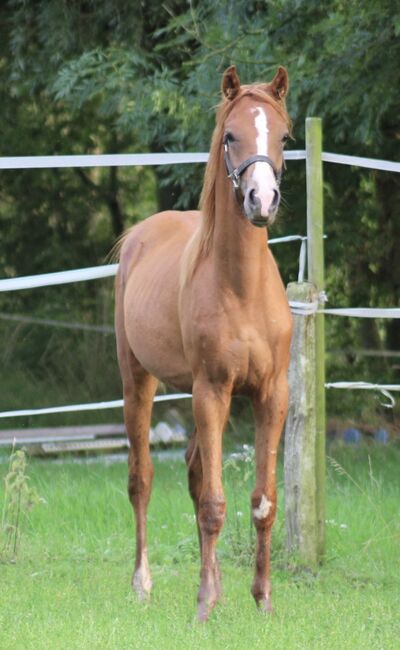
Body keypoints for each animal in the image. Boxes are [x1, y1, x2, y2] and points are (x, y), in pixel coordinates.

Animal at [114, 64, 292, 616]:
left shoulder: (270, 396)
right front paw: (205, 606)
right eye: (230, 136)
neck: (242, 287)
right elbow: (215, 503)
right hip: (140, 382)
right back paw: (142, 584)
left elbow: (262, 502)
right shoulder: (212, 391)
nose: (262, 201)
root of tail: (138, 237)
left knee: (194, 474)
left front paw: (262, 600)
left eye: (284, 137)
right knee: (142, 479)